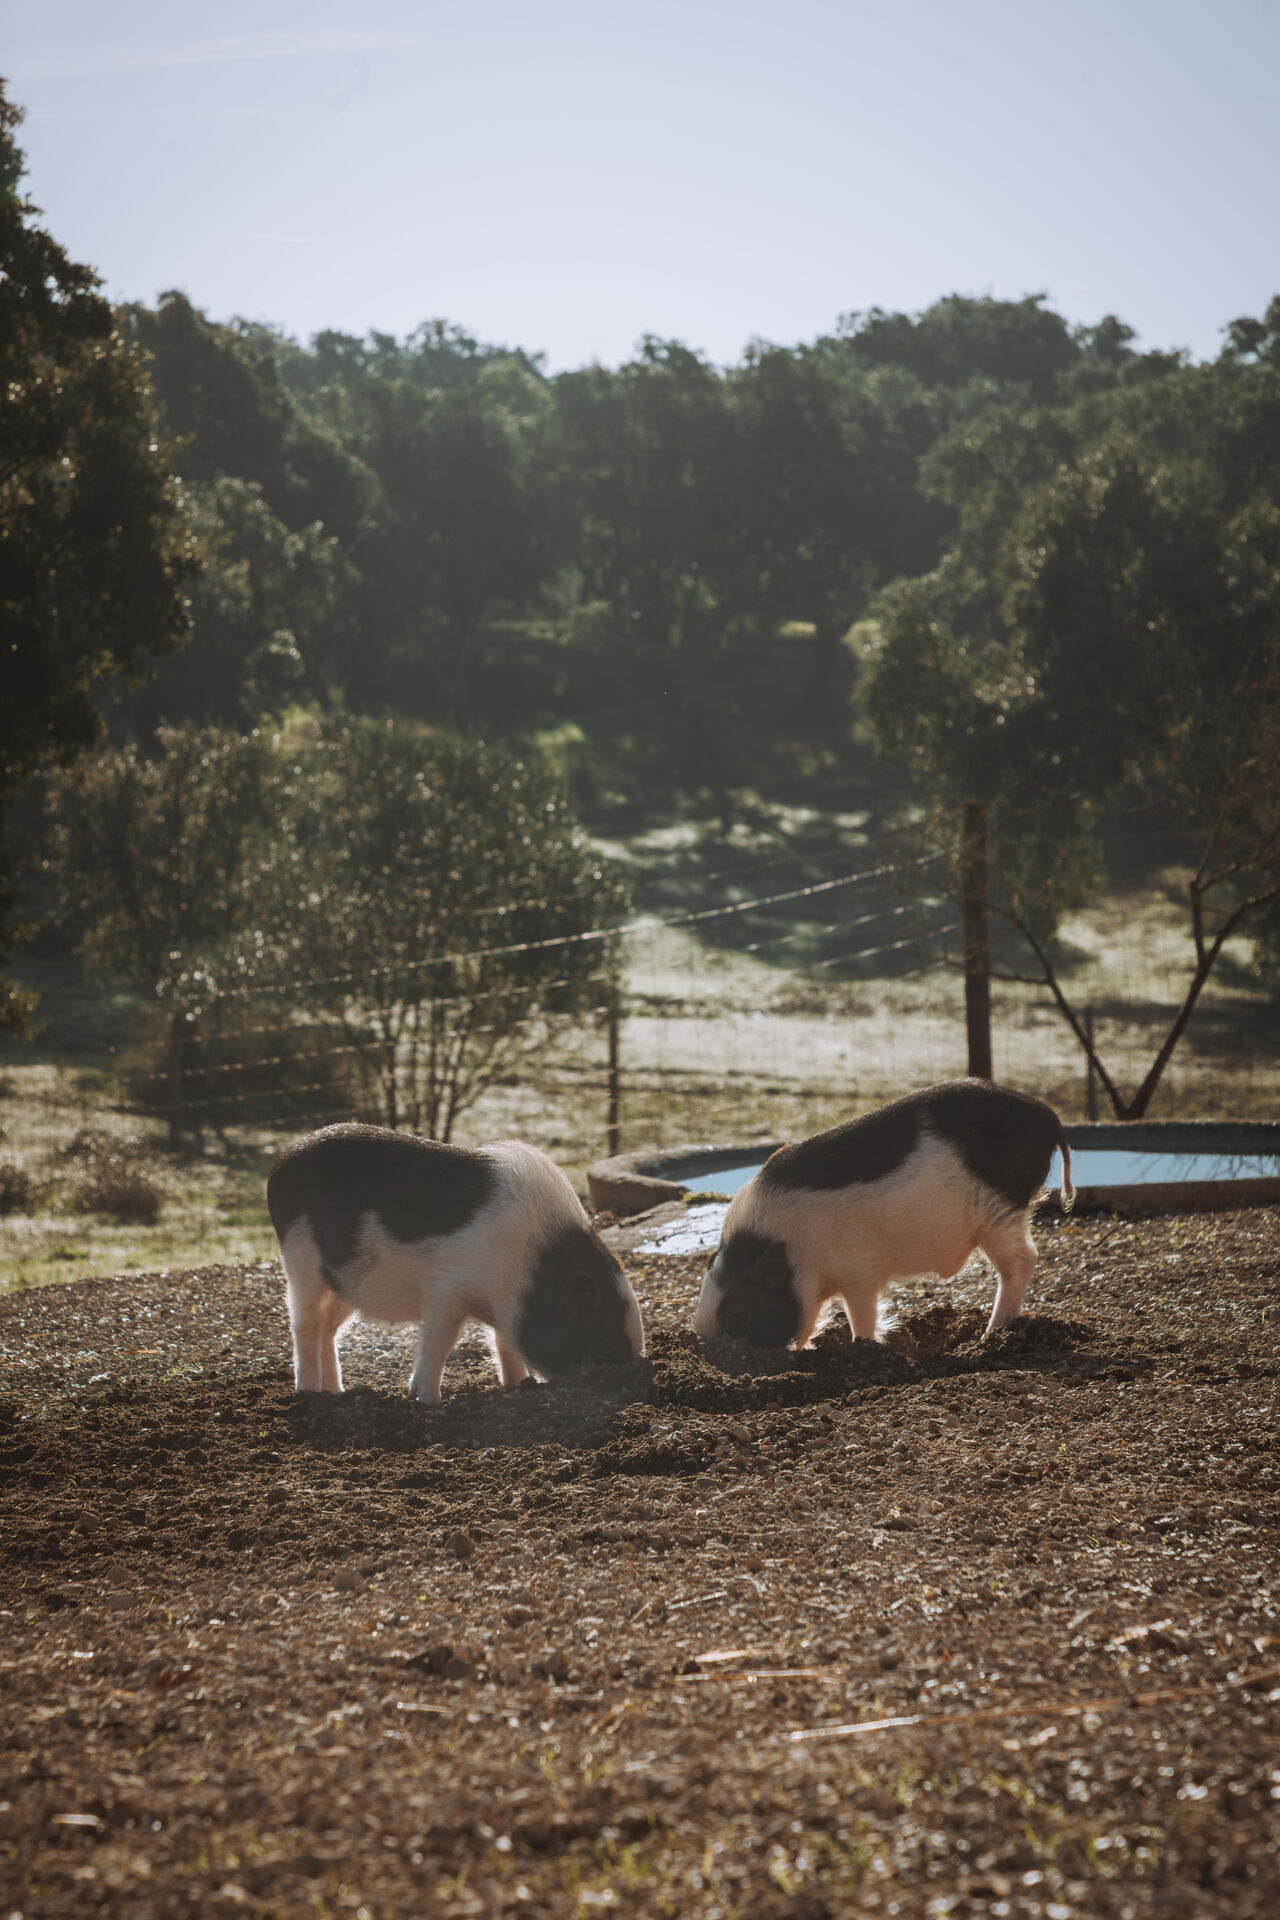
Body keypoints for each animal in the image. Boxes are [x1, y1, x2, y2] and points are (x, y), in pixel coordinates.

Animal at [266, 1123, 644, 1400]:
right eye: (605, 1347)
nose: (633, 1381)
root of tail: (282, 1160)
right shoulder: (446, 1287)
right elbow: (443, 1339)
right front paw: (427, 1400)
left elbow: (503, 1343)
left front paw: (518, 1385)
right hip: (299, 1258)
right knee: (305, 1324)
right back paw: (309, 1394)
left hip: (343, 1282)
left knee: (329, 1329)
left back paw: (337, 1392)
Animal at [695, 1079, 1074, 1349]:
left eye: (740, 1316)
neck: (792, 1252)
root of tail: (1050, 1118)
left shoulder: (859, 1270)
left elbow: (862, 1314)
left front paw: (863, 1346)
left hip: (1001, 1209)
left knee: (1023, 1260)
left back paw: (989, 1337)